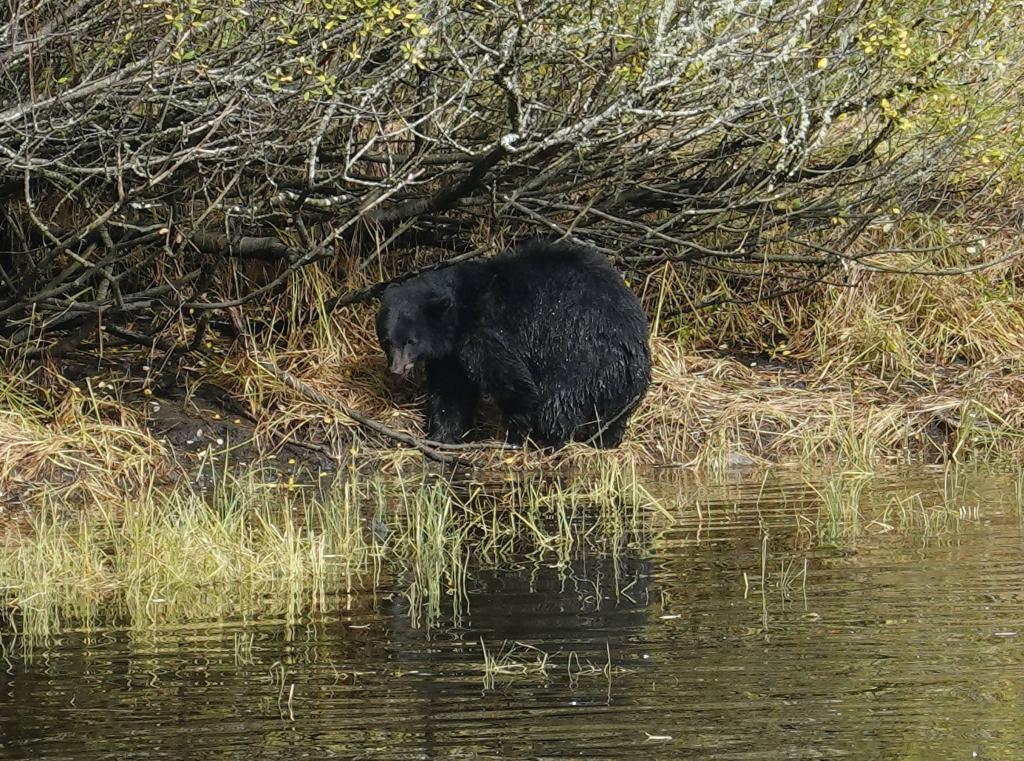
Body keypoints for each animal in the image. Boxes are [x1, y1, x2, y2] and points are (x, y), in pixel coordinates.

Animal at [374, 240, 647, 448]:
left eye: (411, 340)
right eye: (387, 340)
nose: (397, 369)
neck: (461, 311)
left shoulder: (485, 334)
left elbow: (513, 382)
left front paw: (515, 436)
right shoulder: (450, 355)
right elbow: (450, 391)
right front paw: (442, 435)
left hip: (579, 358)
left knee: (557, 402)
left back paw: (548, 442)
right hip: (621, 384)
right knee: (612, 417)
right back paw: (604, 441)